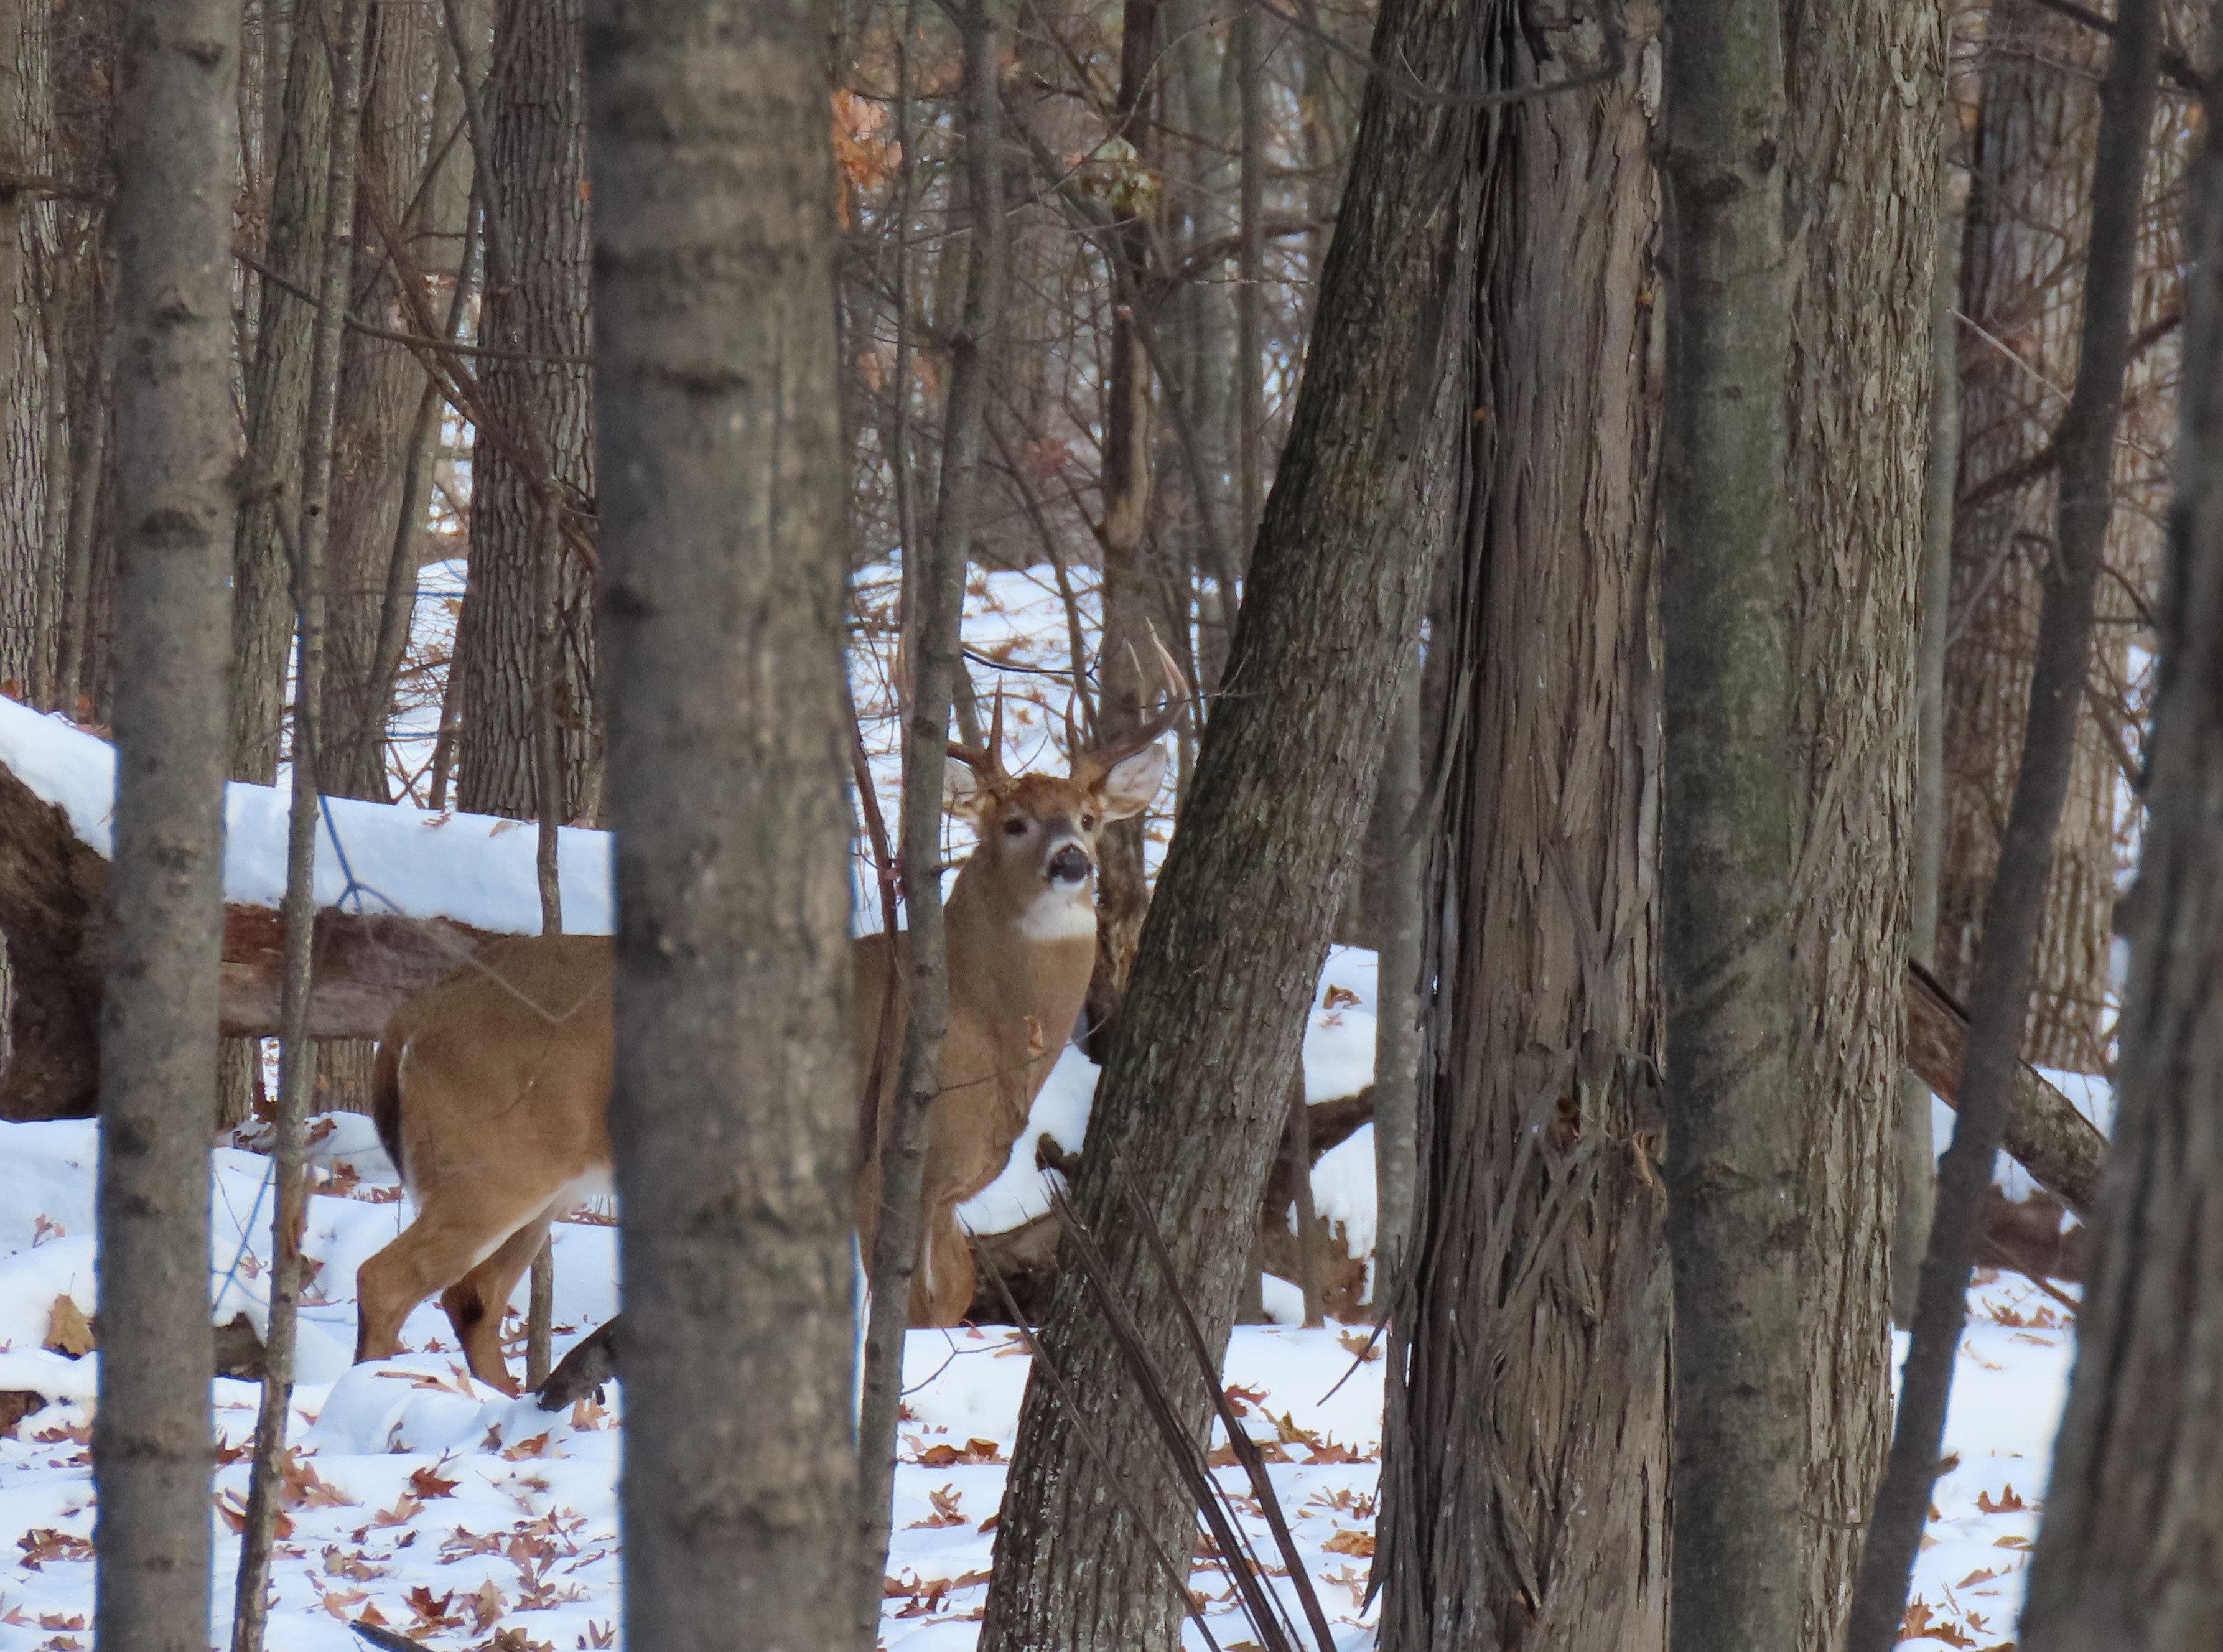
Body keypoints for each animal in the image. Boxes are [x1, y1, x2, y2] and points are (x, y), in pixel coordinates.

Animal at [351, 651, 1186, 1393]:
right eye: (1013, 822)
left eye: (1087, 817)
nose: (1073, 860)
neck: (982, 1020)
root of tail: (409, 1021)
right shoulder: (881, 1166)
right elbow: (912, 1312)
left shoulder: (943, 1191)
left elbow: (949, 1297)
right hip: (489, 1159)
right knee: (388, 1279)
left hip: (549, 1178)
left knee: (474, 1298)